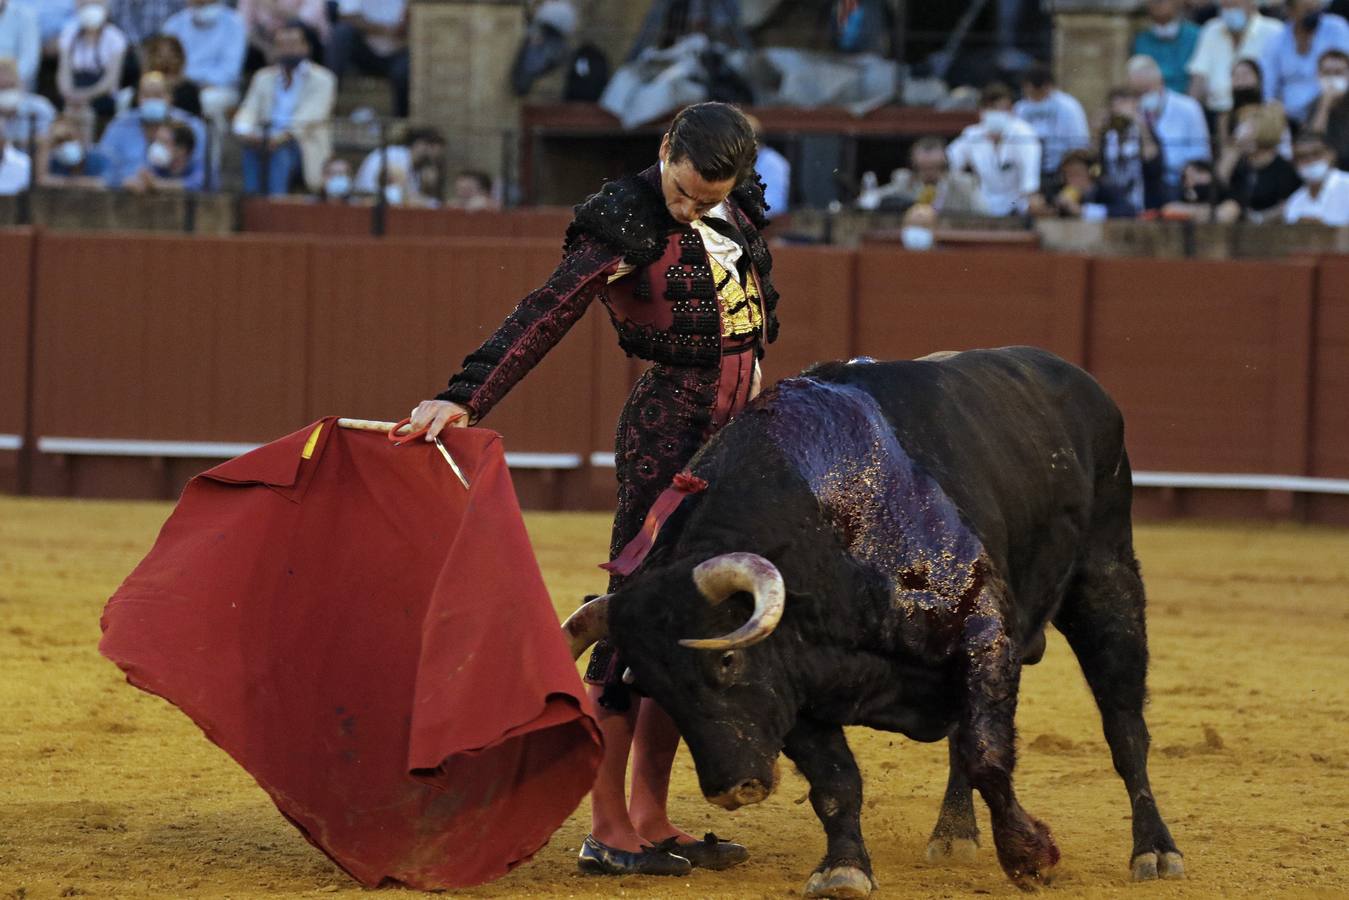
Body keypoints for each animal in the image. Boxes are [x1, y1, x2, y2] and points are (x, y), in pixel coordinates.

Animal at [563, 348, 1176, 895]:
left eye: (728, 658)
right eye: (650, 688)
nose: (732, 788)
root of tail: (1079, 380)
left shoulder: (982, 638)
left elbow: (987, 755)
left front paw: (1030, 857)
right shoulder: (794, 686)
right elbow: (837, 782)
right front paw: (843, 869)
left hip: (1107, 577)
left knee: (1124, 725)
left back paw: (1154, 851)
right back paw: (954, 834)